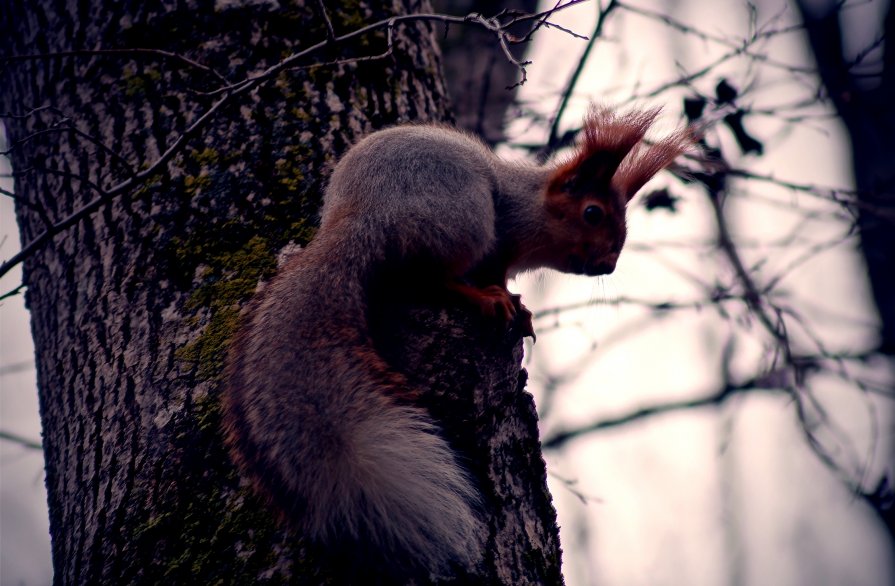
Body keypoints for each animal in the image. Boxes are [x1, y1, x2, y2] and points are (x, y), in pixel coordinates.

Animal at [222, 105, 692, 576]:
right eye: (592, 213)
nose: (609, 264)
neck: (528, 208)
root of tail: (364, 218)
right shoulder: (500, 243)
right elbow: (492, 275)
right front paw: (504, 298)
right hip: (465, 221)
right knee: (432, 278)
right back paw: (483, 298)